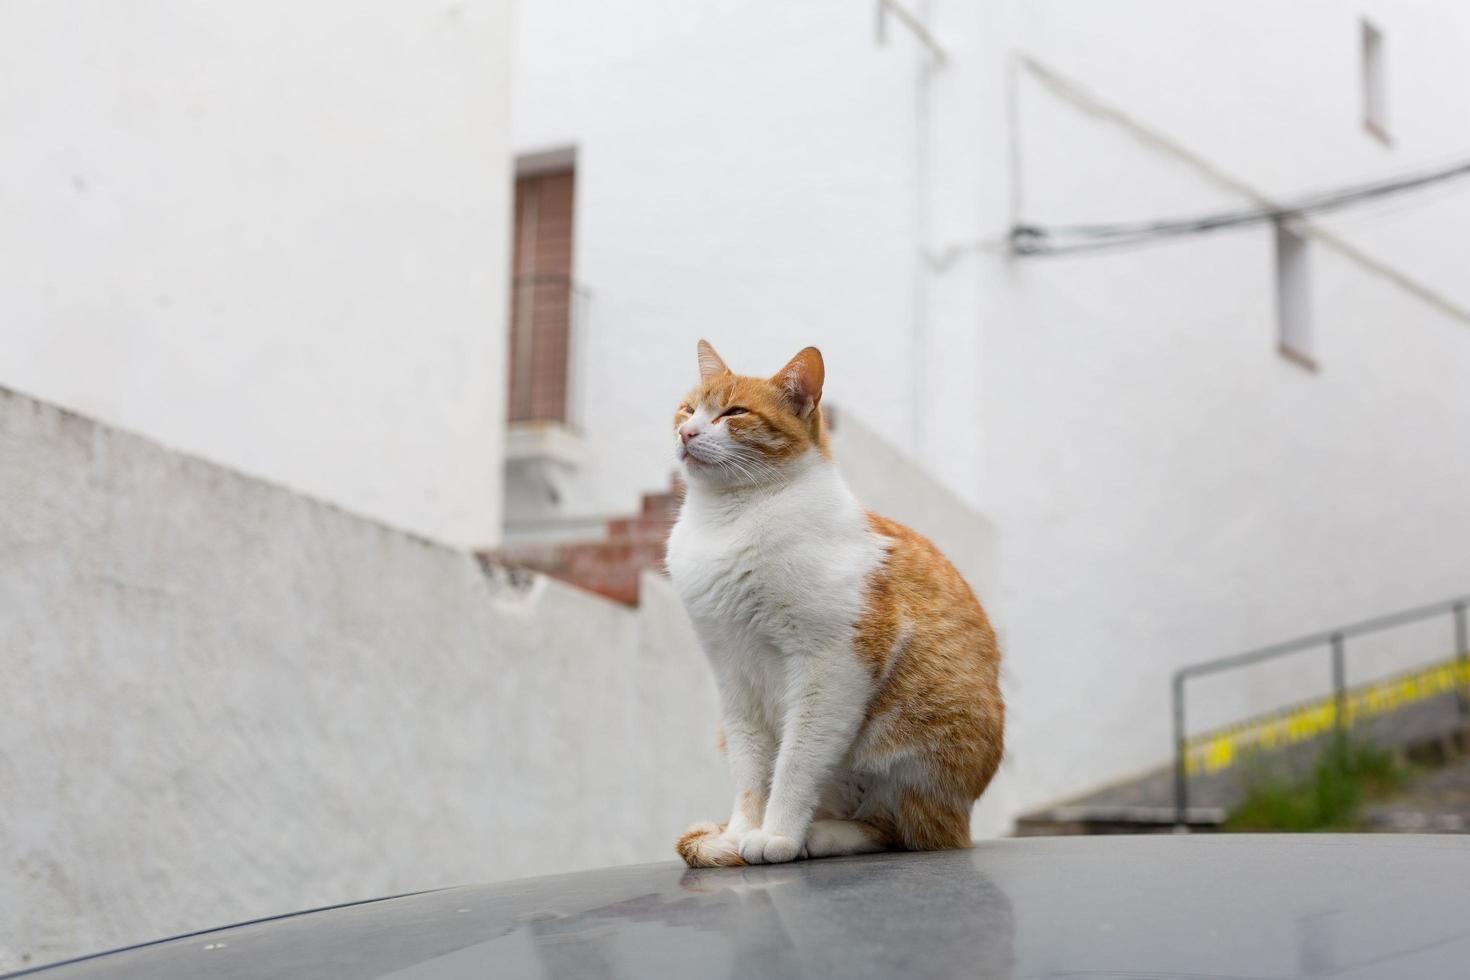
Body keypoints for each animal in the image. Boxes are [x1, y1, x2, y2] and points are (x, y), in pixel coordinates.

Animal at [670, 339, 1005, 863]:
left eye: (733, 412)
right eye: (688, 409)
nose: (686, 432)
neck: (729, 519)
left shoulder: (831, 663)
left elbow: (795, 763)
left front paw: (777, 834)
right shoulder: (732, 675)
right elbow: (750, 772)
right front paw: (741, 831)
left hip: (917, 758)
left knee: (904, 829)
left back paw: (820, 835)